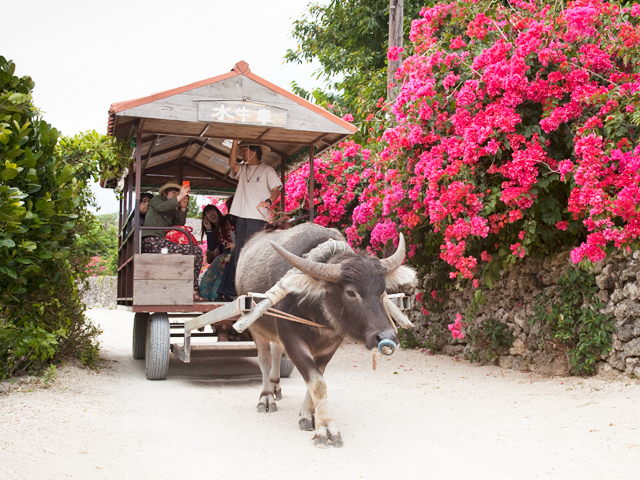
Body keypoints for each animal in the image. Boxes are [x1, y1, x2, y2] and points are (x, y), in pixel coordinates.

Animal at [234, 223, 416, 448]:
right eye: (351, 292)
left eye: (382, 291)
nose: (386, 336)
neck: (317, 311)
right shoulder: (292, 340)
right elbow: (317, 382)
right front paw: (326, 428)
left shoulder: (330, 345)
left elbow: (316, 378)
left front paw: (308, 415)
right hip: (256, 327)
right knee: (265, 359)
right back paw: (266, 397)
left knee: (276, 352)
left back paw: (276, 386)